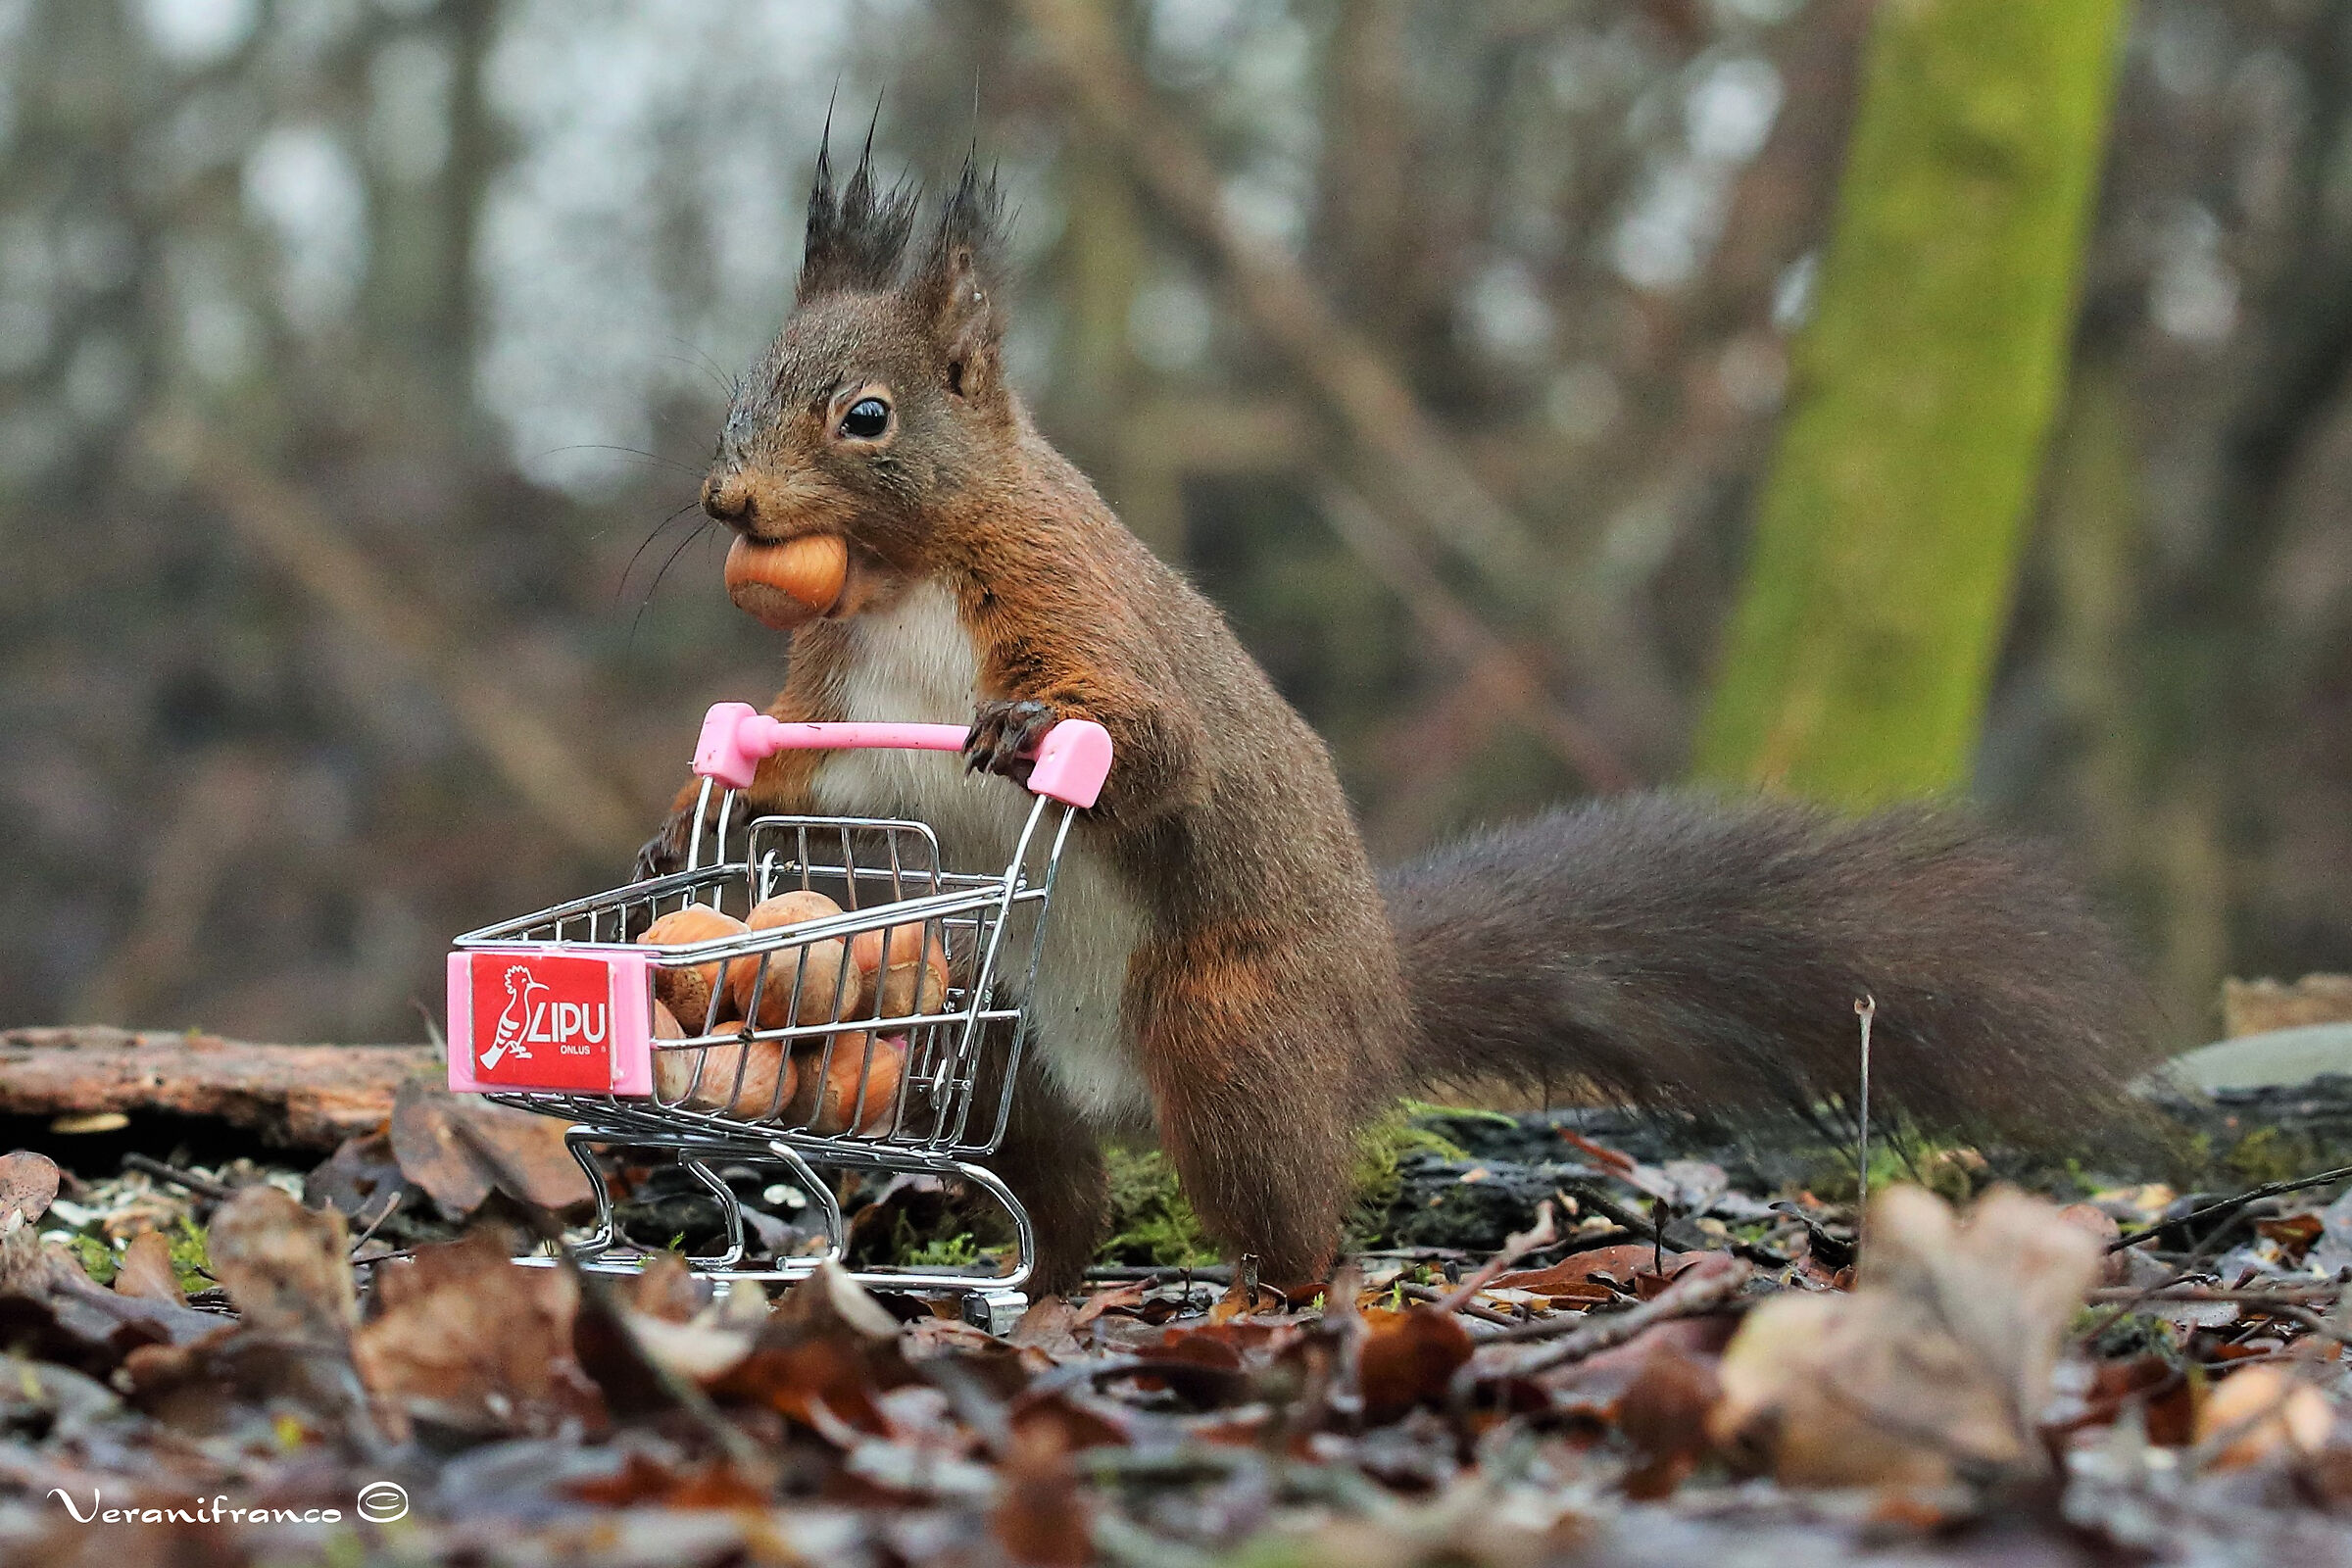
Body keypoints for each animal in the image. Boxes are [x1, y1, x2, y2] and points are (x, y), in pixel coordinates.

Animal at [643, 141, 2153, 1297]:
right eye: (741, 398)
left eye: (868, 417)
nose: (726, 503)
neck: (900, 577)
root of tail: (1376, 1008)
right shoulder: (838, 696)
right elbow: (811, 775)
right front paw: (687, 823)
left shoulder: (1072, 602)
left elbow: (1157, 746)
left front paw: (1029, 738)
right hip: (998, 1043)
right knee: (1056, 1196)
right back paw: (1049, 1283)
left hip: (1233, 1033)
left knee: (1286, 1207)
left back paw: (1268, 1297)